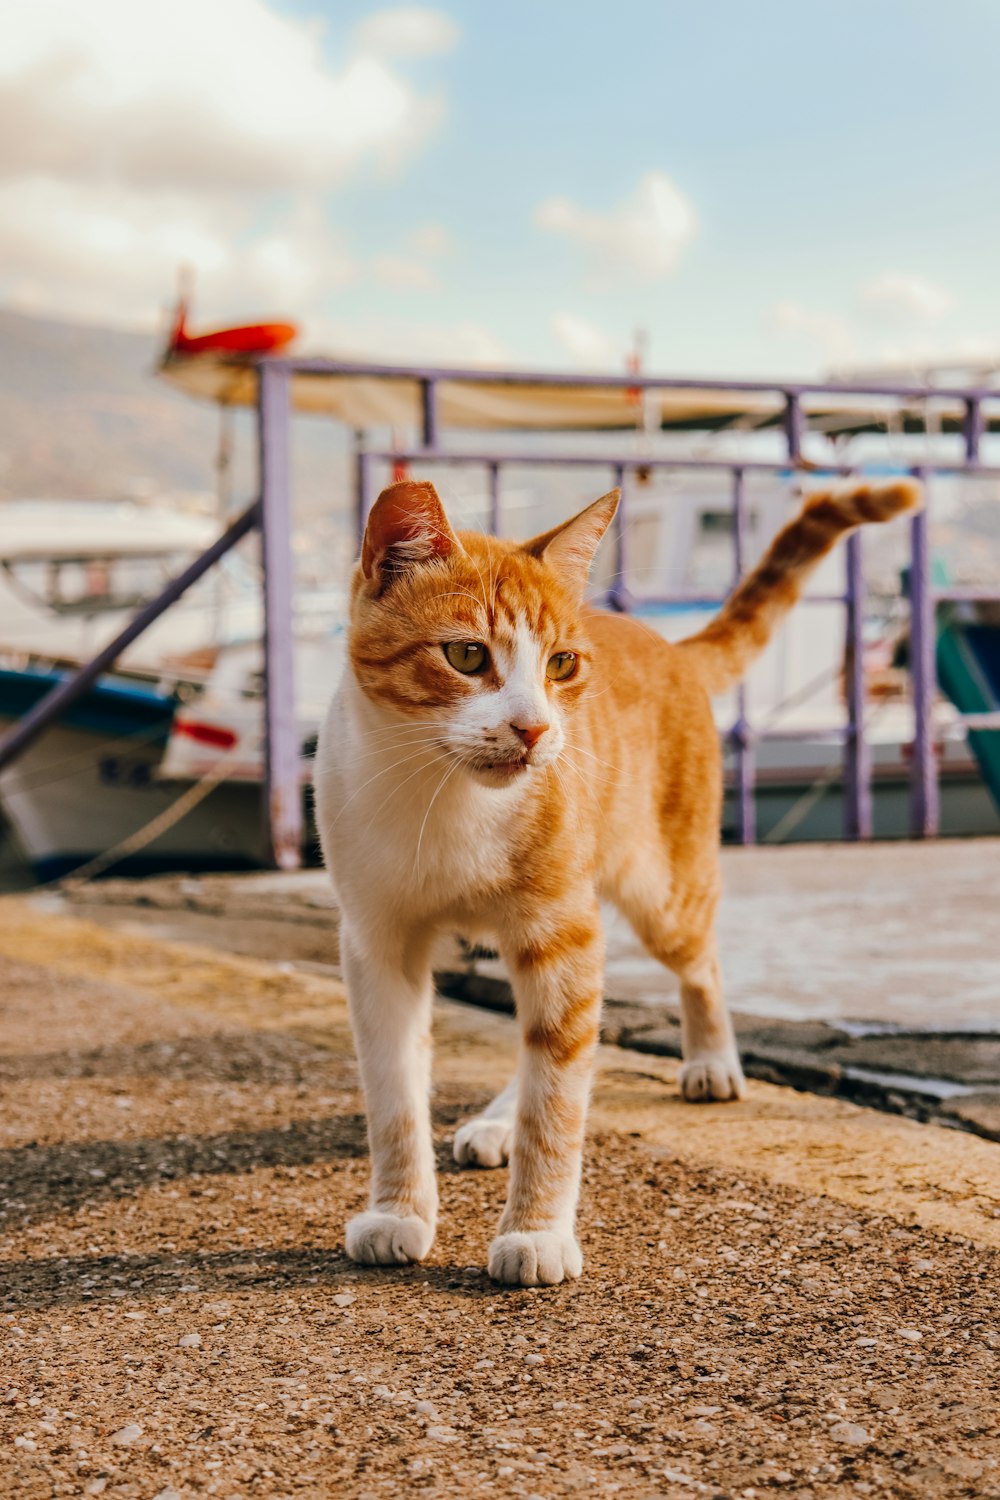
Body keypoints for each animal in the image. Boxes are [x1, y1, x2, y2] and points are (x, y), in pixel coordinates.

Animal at [316, 474, 917, 1284]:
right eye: (467, 655)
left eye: (562, 666)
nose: (535, 730)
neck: (443, 802)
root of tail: (669, 647)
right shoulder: (378, 944)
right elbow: (394, 1097)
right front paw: (398, 1212)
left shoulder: (562, 931)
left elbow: (558, 1101)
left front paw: (536, 1230)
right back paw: (499, 1120)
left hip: (663, 895)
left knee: (697, 964)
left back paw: (710, 1058)